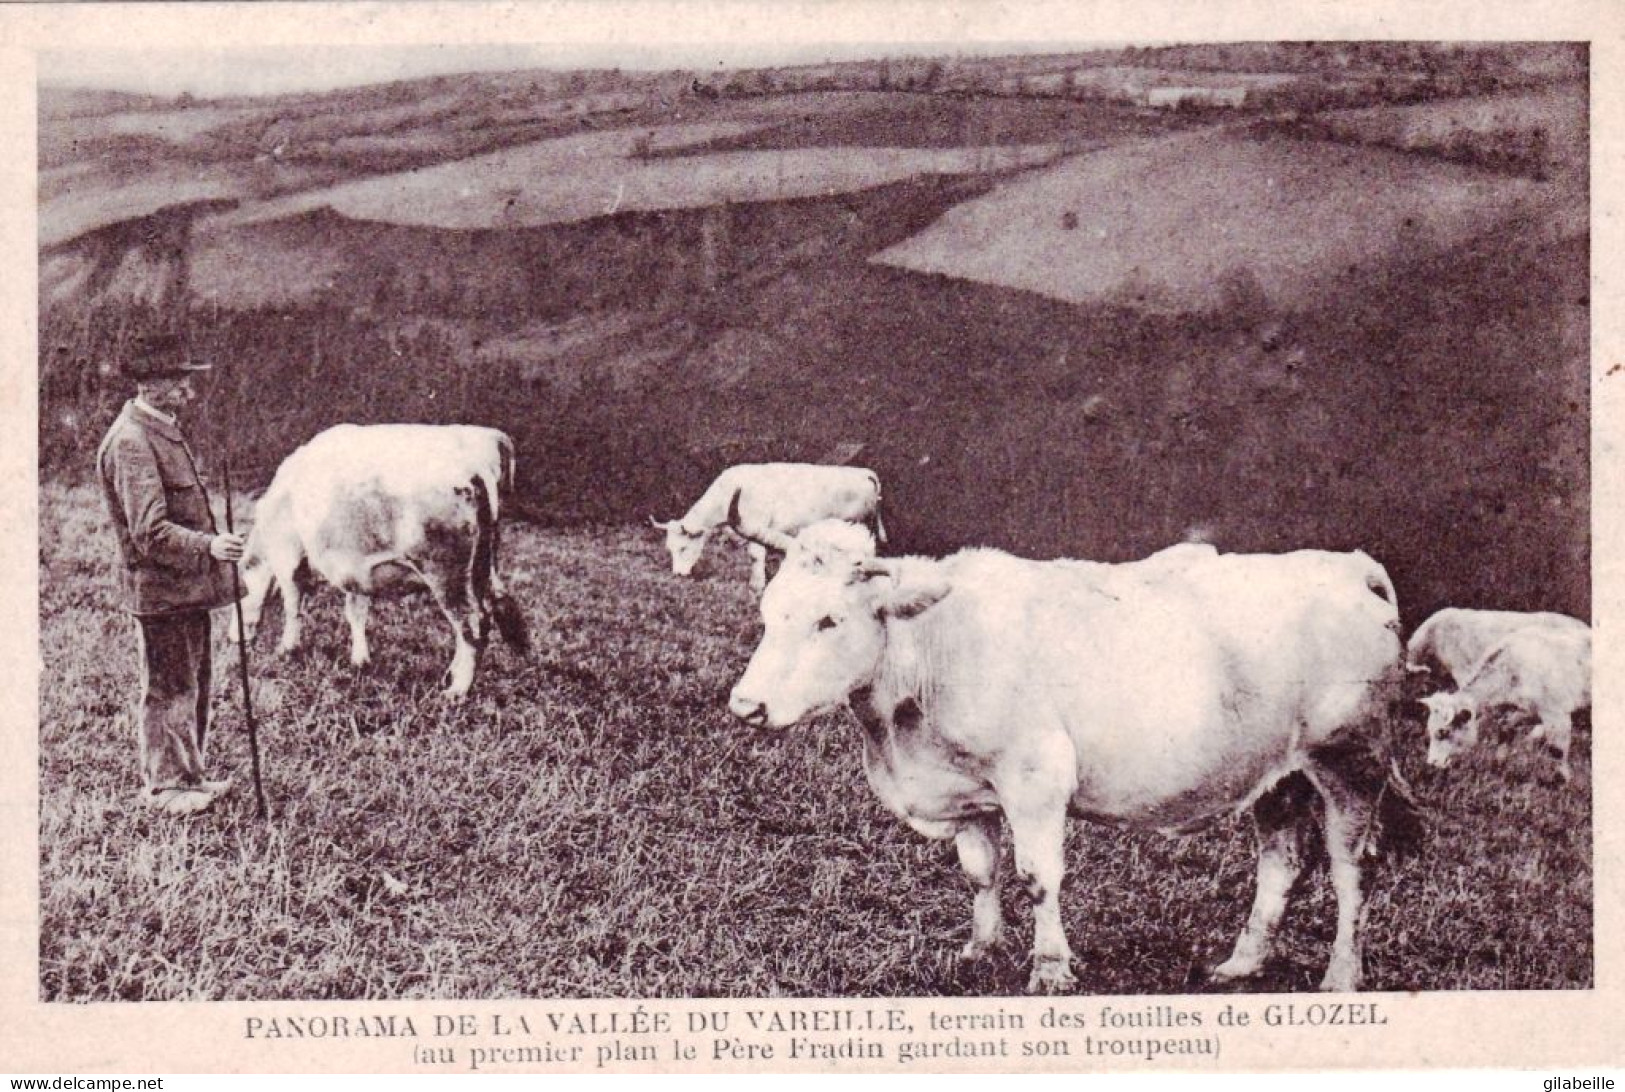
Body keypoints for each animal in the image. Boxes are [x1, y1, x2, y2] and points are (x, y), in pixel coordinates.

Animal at [1423, 617, 1586, 780]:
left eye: (1443, 732)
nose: (1432, 762)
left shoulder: (1556, 714)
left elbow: (1558, 751)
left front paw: (1564, 779)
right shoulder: (1524, 710)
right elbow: (1506, 731)